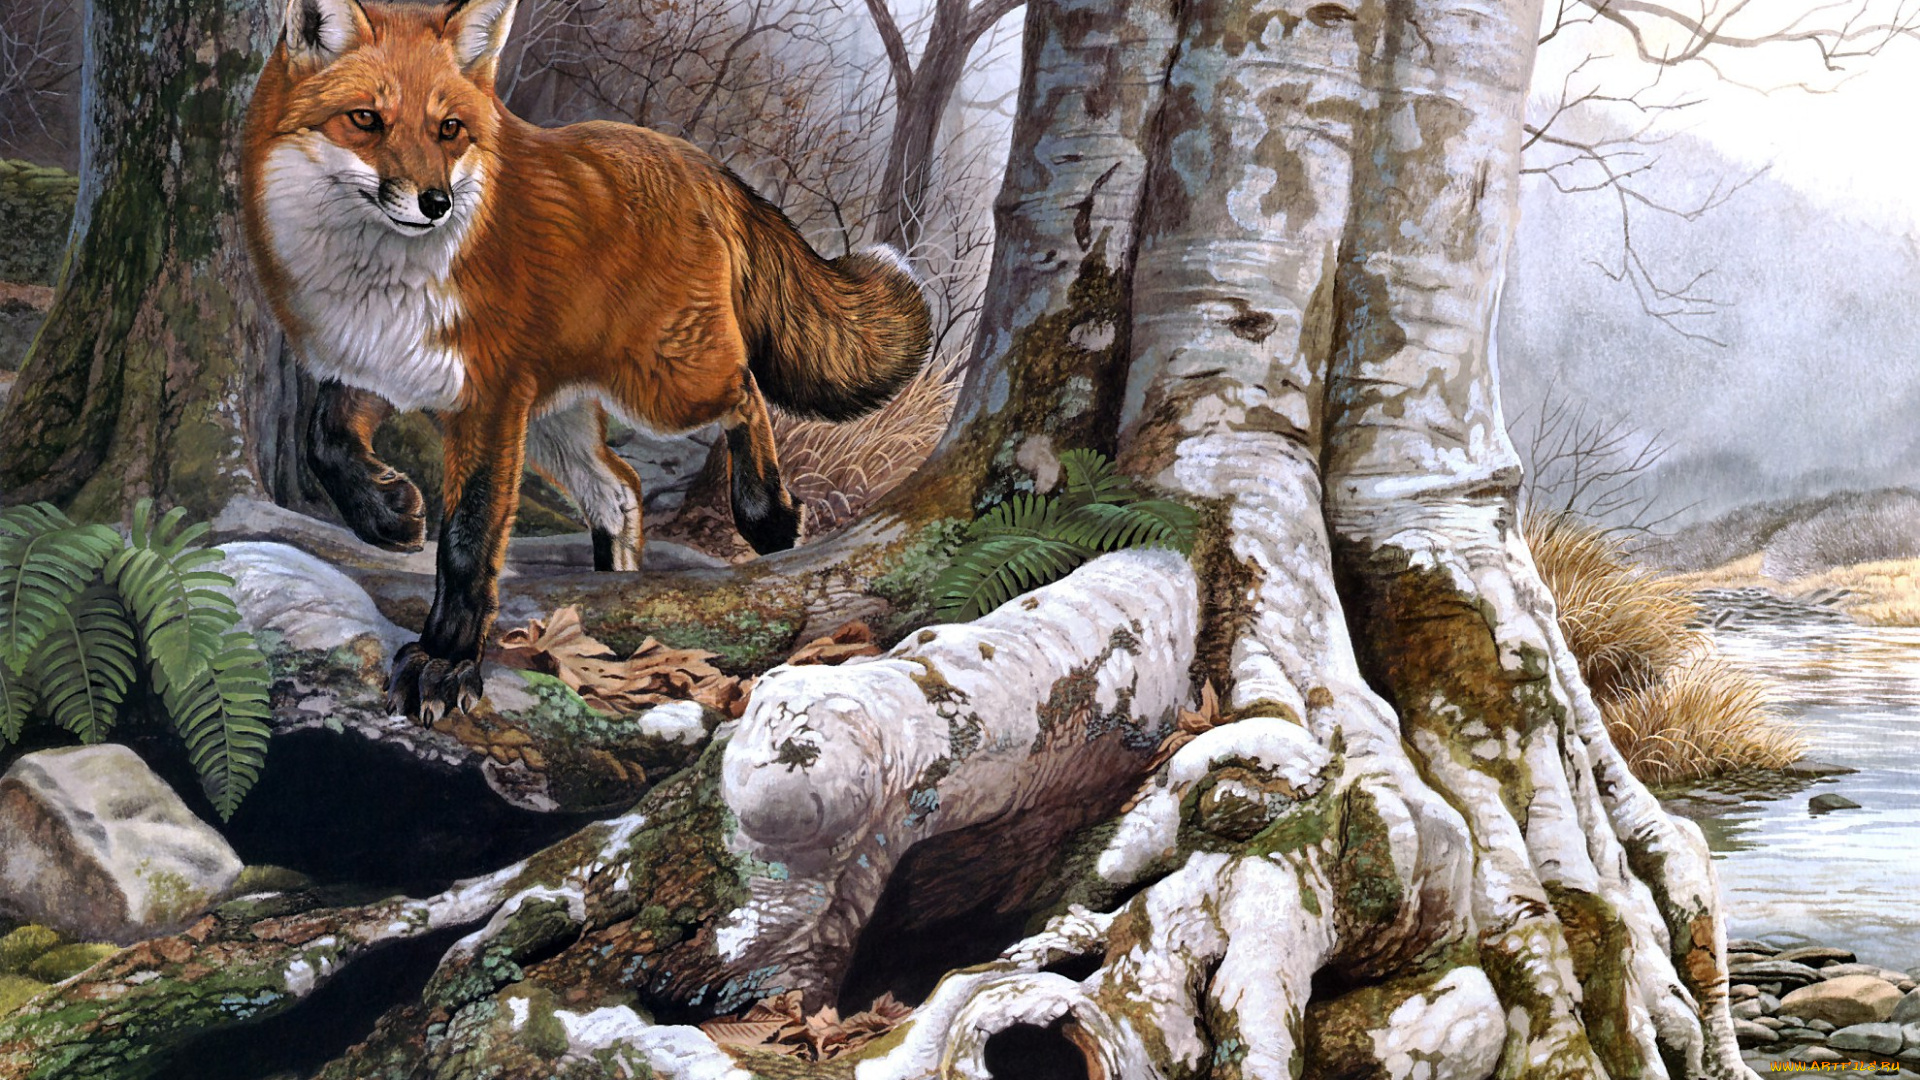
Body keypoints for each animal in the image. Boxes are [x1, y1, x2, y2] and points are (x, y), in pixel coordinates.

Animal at [241, 0, 931, 723]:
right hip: (554, 419)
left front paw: (445, 662)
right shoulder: (383, 363)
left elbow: (468, 541)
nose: (435, 203)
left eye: (449, 129)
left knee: (744, 391)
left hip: (663, 386)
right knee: (620, 490)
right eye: (366, 120)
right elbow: (324, 440)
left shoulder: (486, 402)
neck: (379, 280)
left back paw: (767, 513)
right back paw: (616, 584)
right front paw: (388, 513)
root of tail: (695, 160)